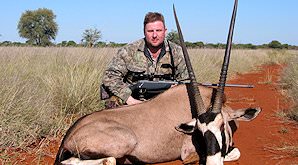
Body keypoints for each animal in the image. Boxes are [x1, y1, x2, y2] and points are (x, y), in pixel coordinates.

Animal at [54, 0, 260, 164]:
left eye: (222, 126)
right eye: (199, 132)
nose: (212, 163)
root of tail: (69, 135)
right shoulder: (188, 152)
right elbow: (234, 153)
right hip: (124, 142)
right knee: (104, 160)